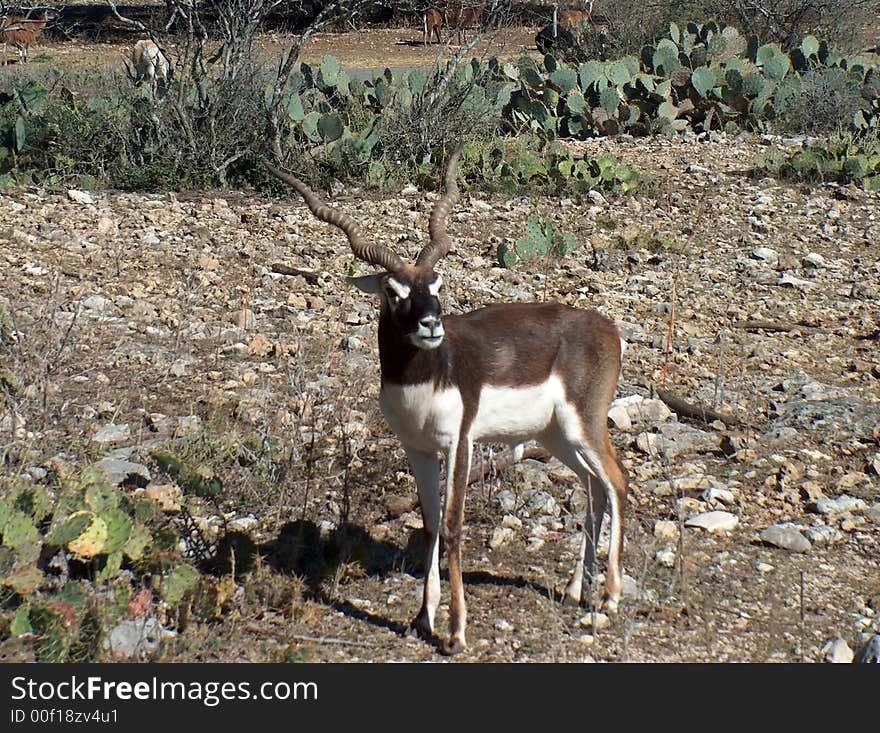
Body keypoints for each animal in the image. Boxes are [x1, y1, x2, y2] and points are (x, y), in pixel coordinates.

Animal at [264, 147, 628, 652]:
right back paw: (577, 590)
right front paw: (423, 617)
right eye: (394, 292)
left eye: (436, 286)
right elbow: (431, 523)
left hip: (584, 424)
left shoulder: (460, 442)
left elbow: (454, 526)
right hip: (555, 435)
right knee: (593, 488)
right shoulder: (417, 449)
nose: (431, 325)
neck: (425, 381)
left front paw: (456, 631)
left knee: (617, 483)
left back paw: (610, 598)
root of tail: (607, 328)